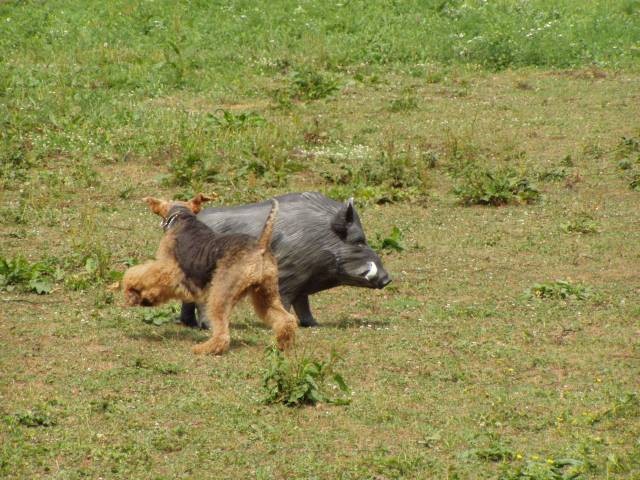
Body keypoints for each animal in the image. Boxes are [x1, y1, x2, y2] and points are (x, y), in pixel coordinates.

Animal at [123, 194, 296, 355]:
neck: (181, 217)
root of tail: (260, 247)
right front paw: (145, 298)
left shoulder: (168, 268)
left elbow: (137, 274)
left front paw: (130, 291)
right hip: (266, 293)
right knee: (286, 319)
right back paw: (281, 345)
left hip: (220, 294)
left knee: (223, 334)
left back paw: (203, 348)